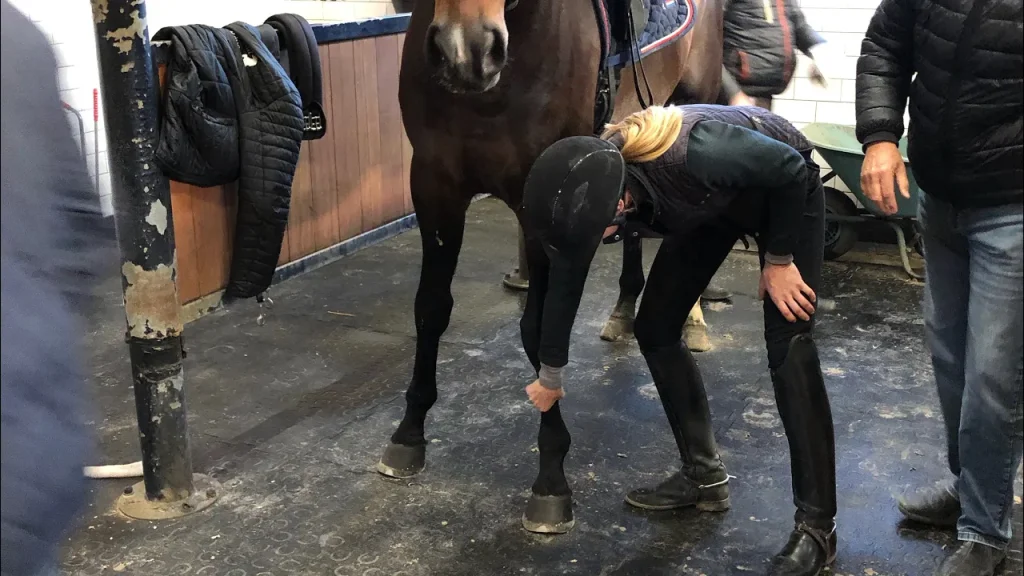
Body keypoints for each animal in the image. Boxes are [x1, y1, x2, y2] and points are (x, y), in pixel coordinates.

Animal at [378, 0, 725, 533]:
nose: (466, 52)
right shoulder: (434, 185)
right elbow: (431, 310)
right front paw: (408, 434)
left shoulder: (542, 200)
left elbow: (541, 331)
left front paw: (551, 479)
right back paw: (623, 309)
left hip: (693, 104)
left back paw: (694, 320)